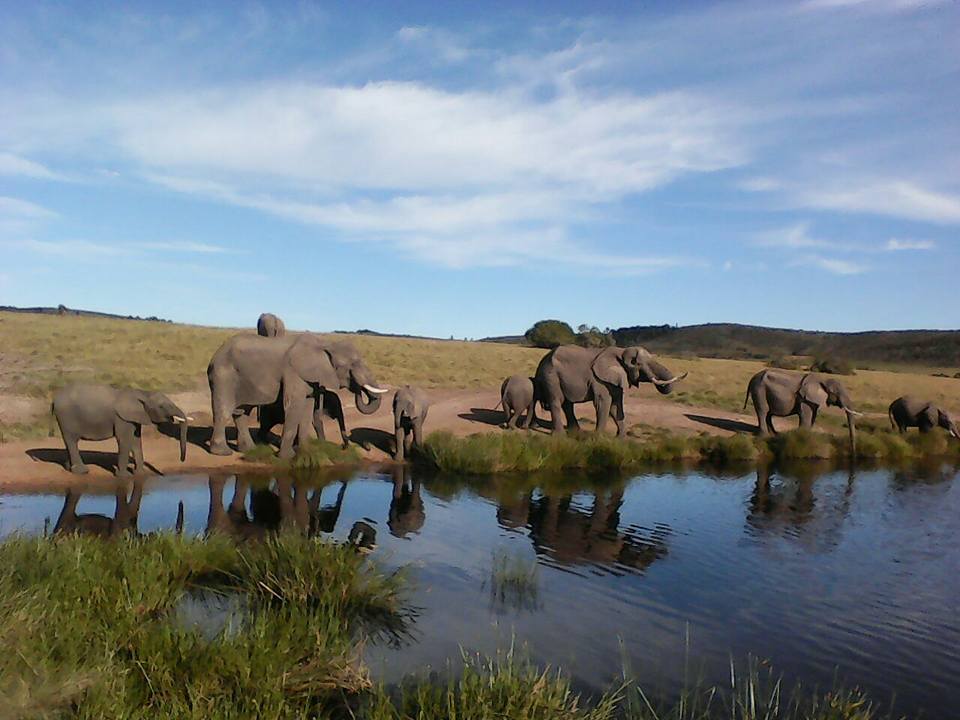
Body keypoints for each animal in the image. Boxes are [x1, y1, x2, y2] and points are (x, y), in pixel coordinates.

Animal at [52, 384, 191, 476]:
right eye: (161, 407)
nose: (181, 460)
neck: (143, 393)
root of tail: (54, 400)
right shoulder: (121, 418)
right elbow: (124, 440)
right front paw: (124, 476)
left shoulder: (135, 418)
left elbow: (136, 441)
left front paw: (140, 473)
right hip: (66, 416)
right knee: (71, 440)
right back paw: (82, 471)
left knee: (70, 442)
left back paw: (69, 468)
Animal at [207, 333, 388, 457]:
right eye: (352, 365)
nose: (358, 388)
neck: (325, 344)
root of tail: (216, 353)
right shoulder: (293, 372)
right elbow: (294, 405)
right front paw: (286, 457)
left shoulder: (310, 379)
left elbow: (307, 408)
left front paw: (305, 451)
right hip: (223, 374)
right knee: (224, 410)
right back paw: (222, 452)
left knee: (242, 412)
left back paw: (249, 450)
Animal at [533, 345, 687, 436]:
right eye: (639, 364)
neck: (621, 351)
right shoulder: (599, 379)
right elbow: (604, 403)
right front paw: (598, 439)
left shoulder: (616, 380)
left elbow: (616, 406)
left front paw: (621, 439)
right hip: (550, 376)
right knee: (557, 401)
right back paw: (561, 436)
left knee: (567, 404)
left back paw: (575, 432)